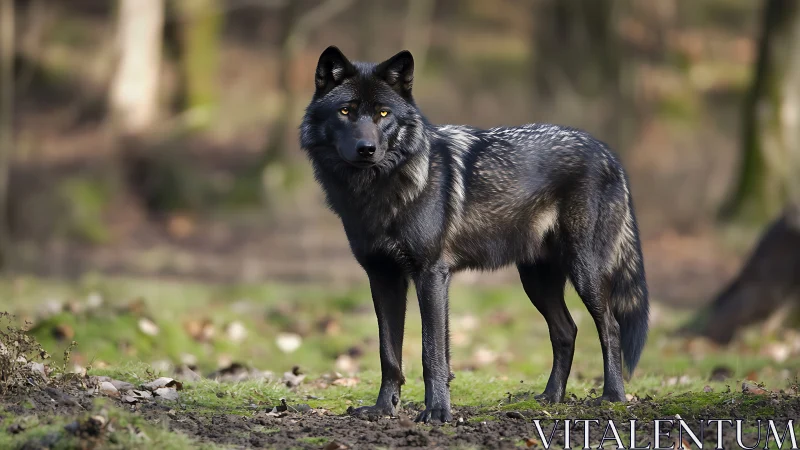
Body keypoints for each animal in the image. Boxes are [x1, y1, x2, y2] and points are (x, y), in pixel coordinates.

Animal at [299, 46, 649, 423]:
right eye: (346, 111)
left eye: (382, 113)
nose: (367, 148)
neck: (377, 191)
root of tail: (608, 151)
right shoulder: (382, 277)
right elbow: (388, 353)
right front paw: (382, 409)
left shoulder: (431, 275)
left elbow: (432, 353)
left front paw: (438, 411)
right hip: (536, 281)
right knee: (566, 330)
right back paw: (550, 397)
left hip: (584, 272)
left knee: (610, 327)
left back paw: (612, 397)